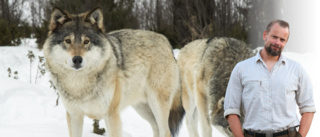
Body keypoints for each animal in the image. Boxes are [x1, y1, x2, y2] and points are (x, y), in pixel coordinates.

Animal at [43, 7, 186, 137]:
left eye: (86, 41)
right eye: (68, 41)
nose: (77, 59)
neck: (79, 84)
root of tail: (166, 42)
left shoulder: (111, 115)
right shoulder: (74, 115)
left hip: (157, 104)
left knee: (166, 132)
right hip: (142, 108)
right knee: (156, 129)